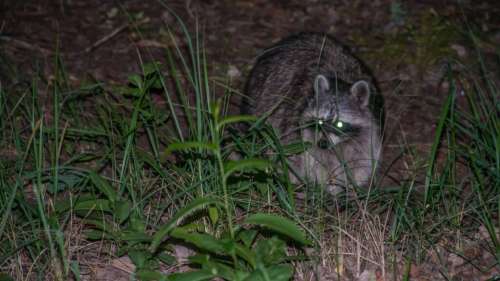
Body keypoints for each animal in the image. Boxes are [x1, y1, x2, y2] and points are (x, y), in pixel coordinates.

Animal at [242, 32, 382, 194]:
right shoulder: (296, 123)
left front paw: (352, 185)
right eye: (320, 121)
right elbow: (305, 158)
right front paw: (322, 184)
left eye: (339, 124)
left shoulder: (370, 127)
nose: (322, 143)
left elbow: (363, 159)